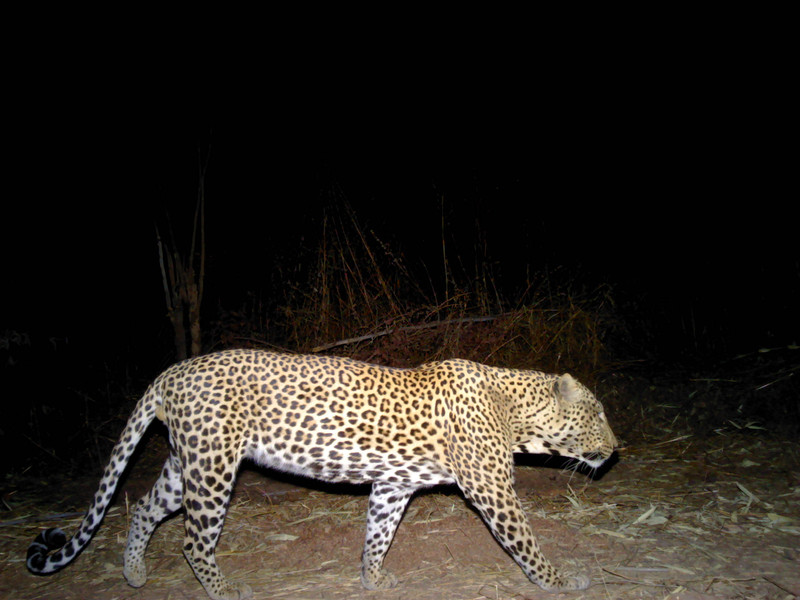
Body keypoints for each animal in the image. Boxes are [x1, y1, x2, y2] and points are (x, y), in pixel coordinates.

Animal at [27, 349, 618, 600]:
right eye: (598, 413)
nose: (617, 449)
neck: (516, 413)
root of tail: (170, 372)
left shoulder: (393, 485)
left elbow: (378, 533)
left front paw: (373, 579)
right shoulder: (493, 489)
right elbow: (526, 542)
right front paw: (560, 581)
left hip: (185, 464)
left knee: (146, 510)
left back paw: (133, 573)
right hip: (214, 468)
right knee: (194, 542)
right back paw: (225, 589)